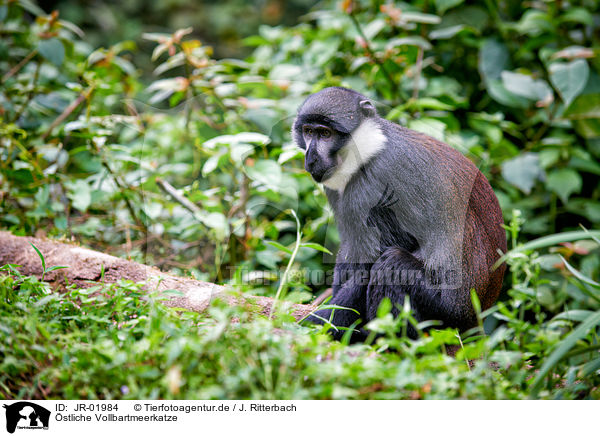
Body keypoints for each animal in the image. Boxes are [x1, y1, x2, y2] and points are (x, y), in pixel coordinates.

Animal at [294, 87, 506, 340]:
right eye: (308, 132)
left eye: (325, 134)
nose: (311, 157)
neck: (371, 148)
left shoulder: (373, 186)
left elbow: (370, 263)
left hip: (448, 312)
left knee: (392, 264)